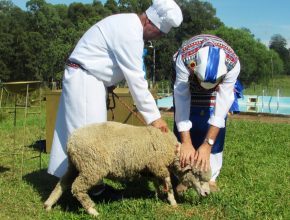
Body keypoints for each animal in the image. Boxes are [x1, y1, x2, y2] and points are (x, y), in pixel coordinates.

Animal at [43, 121, 211, 217]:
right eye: (197, 174)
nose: (207, 194)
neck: (171, 149)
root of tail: (70, 142)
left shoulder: (151, 167)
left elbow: (157, 182)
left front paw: (158, 196)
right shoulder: (158, 164)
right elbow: (168, 182)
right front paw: (172, 201)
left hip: (75, 165)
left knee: (62, 184)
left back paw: (48, 205)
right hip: (92, 166)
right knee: (77, 187)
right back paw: (92, 211)